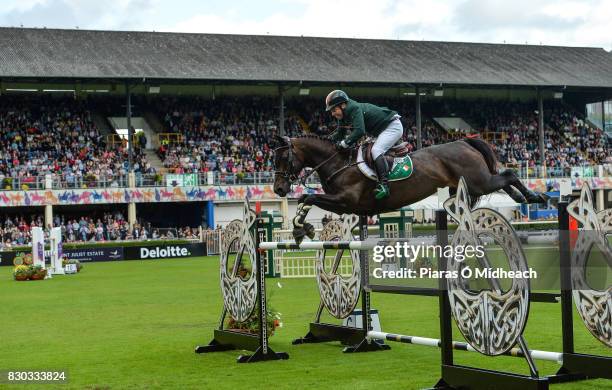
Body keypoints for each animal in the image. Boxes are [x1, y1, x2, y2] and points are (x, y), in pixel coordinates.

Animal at [270, 136, 548, 242]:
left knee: (509, 175)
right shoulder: (344, 205)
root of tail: (464, 141)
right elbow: (307, 199)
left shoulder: (346, 200)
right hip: (466, 187)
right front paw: (301, 228)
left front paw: (302, 228)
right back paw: (525, 197)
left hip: (478, 181)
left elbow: (308, 197)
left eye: (283, 159)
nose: (279, 189)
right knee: (503, 180)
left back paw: (535, 196)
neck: (338, 163)